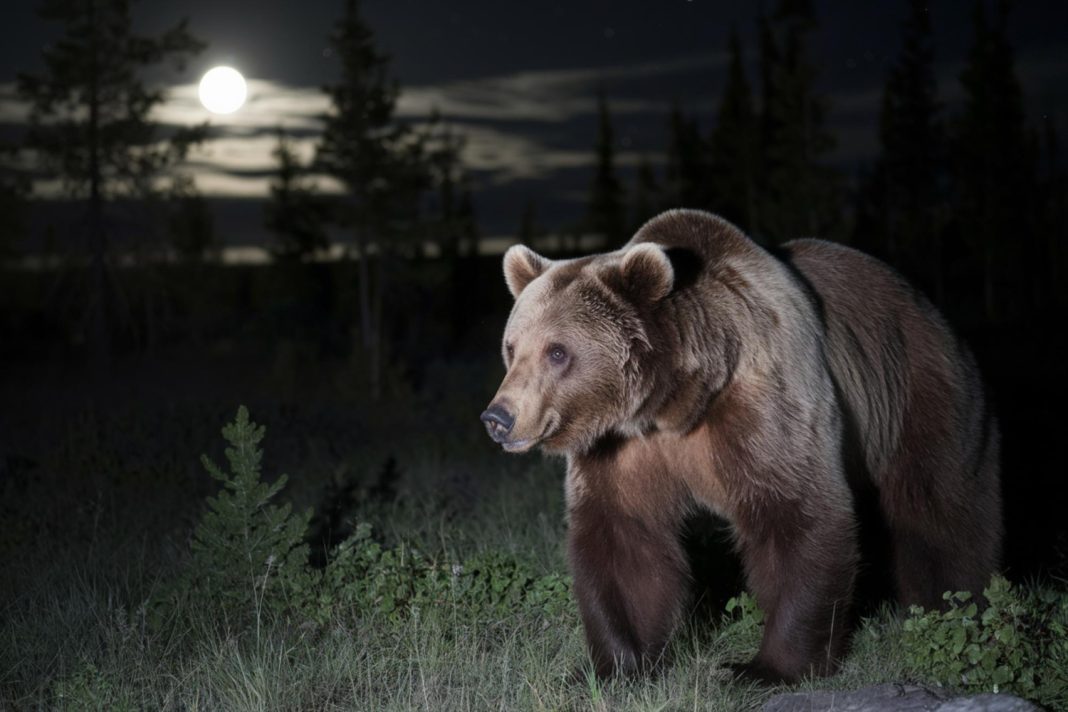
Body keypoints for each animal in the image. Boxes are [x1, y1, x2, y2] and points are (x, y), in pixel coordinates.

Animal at [480, 209, 1002, 683]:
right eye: (512, 347)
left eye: (557, 352)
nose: (498, 418)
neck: (676, 402)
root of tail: (931, 311)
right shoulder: (624, 447)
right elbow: (622, 536)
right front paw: (617, 665)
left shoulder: (762, 405)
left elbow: (798, 515)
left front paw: (764, 668)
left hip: (916, 397)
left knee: (937, 509)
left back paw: (954, 607)